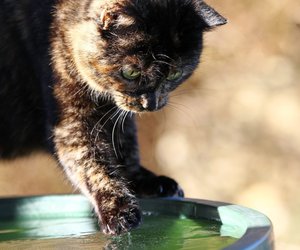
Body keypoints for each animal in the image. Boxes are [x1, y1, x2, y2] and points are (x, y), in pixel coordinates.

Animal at [0, 0, 225, 234]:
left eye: (174, 74)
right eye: (131, 72)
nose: (150, 104)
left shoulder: (117, 114)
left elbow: (125, 146)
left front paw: (144, 181)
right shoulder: (71, 121)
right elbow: (91, 164)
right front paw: (118, 210)